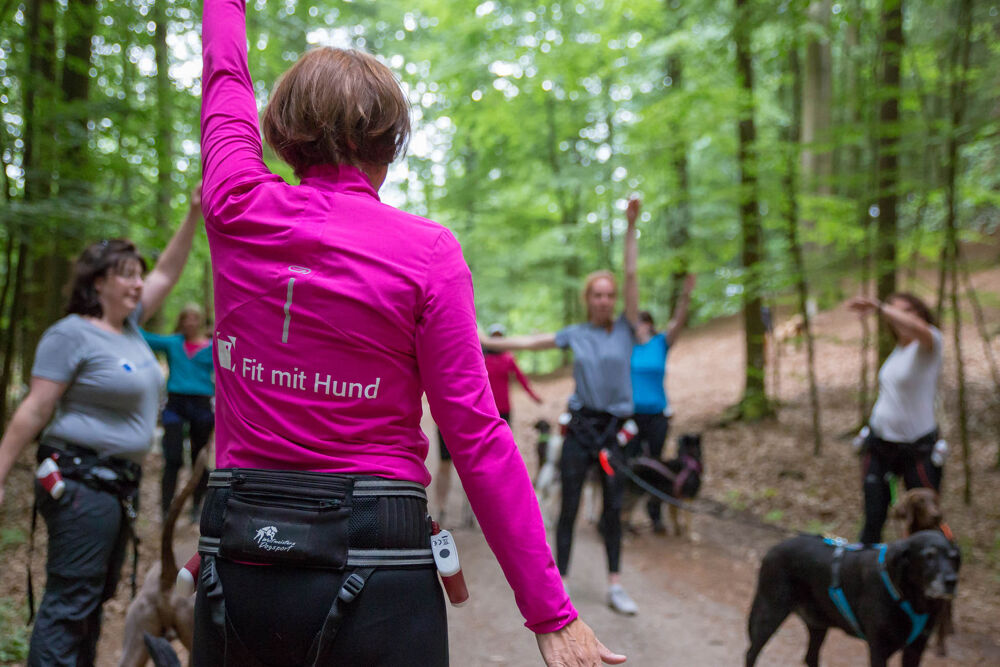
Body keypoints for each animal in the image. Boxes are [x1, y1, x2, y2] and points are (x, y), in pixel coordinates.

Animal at [748, 528, 956, 664]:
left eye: (952, 557)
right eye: (929, 556)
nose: (951, 581)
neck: (912, 600)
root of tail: (773, 549)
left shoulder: (915, 650)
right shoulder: (879, 650)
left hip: (818, 624)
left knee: (810, 657)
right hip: (771, 614)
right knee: (751, 652)